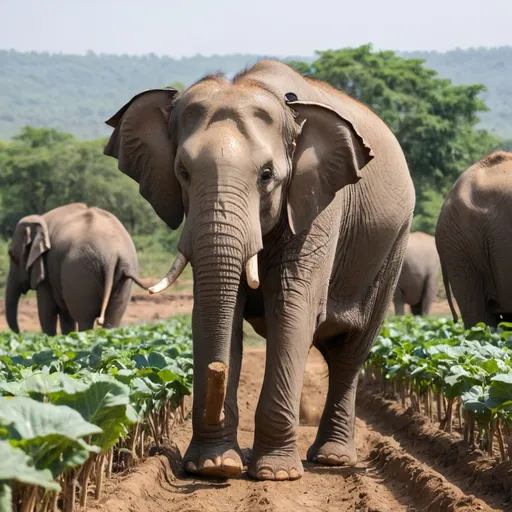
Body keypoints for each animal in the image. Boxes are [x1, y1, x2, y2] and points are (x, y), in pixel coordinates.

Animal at [6, 202, 147, 334]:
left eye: (13, 257)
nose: (20, 332)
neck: (40, 219)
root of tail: (111, 255)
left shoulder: (46, 273)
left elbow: (47, 313)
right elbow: (65, 315)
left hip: (80, 271)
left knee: (85, 319)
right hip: (122, 274)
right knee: (112, 319)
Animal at [103, 59, 416, 480]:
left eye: (267, 175)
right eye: (183, 171)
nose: (215, 368)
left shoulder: (318, 203)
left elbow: (293, 308)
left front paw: (274, 474)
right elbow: (216, 310)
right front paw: (214, 466)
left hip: (394, 244)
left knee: (350, 353)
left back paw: (331, 459)